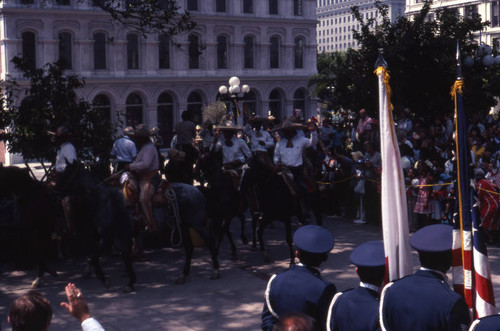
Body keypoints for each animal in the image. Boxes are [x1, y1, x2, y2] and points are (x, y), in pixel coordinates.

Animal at [57, 162, 219, 286]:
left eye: (64, 175)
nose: (56, 190)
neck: (104, 200)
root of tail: (197, 189)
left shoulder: (111, 237)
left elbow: (100, 257)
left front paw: (114, 281)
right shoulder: (116, 237)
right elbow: (116, 256)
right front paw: (125, 279)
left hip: (198, 224)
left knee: (211, 242)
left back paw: (215, 271)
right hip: (183, 226)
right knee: (189, 248)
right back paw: (183, 275)